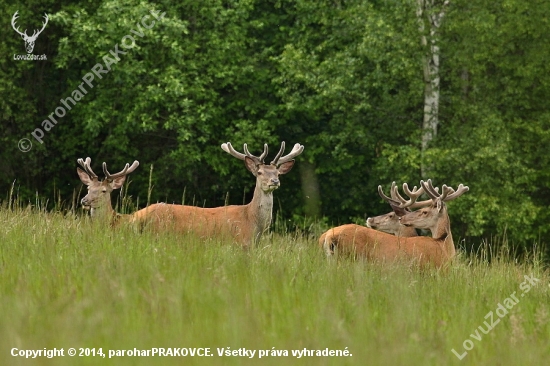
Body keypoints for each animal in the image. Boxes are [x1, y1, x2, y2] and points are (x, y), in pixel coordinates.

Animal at [133, 142, 306, 247]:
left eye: (278, 173)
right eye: (259, 172)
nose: (275, 181)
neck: (252, 222)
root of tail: (139, 215)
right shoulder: (238, 243)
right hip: (158, 234)